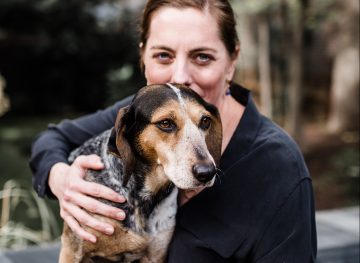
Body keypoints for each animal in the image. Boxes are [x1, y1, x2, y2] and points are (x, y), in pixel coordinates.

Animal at [59, 83, 222, 262]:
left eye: (205, 121)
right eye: (166, 123)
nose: (207, 172)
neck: (142, 199)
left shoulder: (155, 254)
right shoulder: (72, 250)